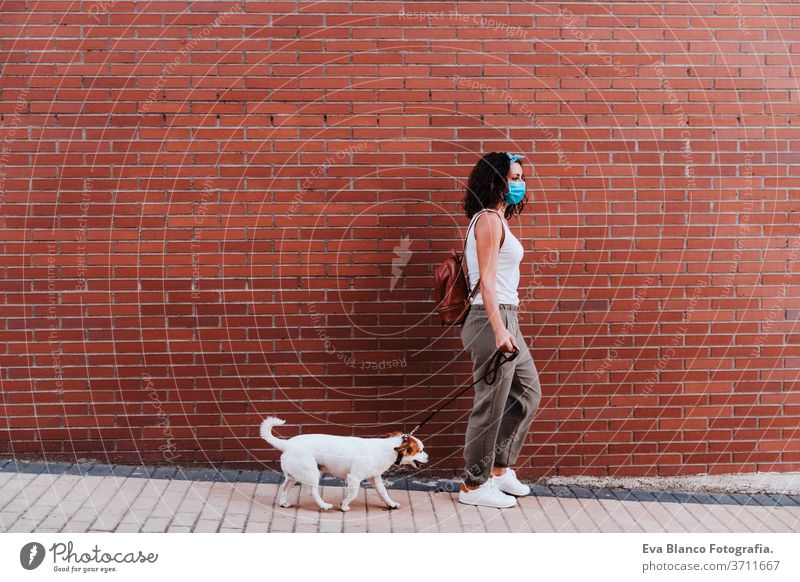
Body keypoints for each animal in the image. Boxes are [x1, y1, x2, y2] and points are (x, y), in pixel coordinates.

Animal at [260, 420, 428, 512]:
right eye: (420, 450)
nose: (428, 457)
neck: (387, 450)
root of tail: (288, 444)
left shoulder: (375, 478)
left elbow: (384, 493)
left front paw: (391, 504)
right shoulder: (354, 478)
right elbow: (353, 494)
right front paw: (344, 505)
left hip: (293, 475)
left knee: (284, 487)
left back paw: (283, 503)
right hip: (312, 473)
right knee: (311, 491)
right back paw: (324, 505)